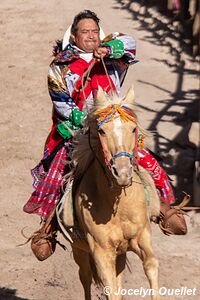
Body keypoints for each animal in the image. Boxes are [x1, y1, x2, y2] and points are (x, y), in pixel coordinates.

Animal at [63, 85, 160, 298]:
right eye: (101, 131)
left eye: (133, 129)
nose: (122, 173)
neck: (118, 207)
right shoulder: (101, 252)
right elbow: (110, 290)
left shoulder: (142, 237)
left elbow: (151, 265)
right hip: (79, 250)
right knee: (86, 278)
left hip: (120, 254)